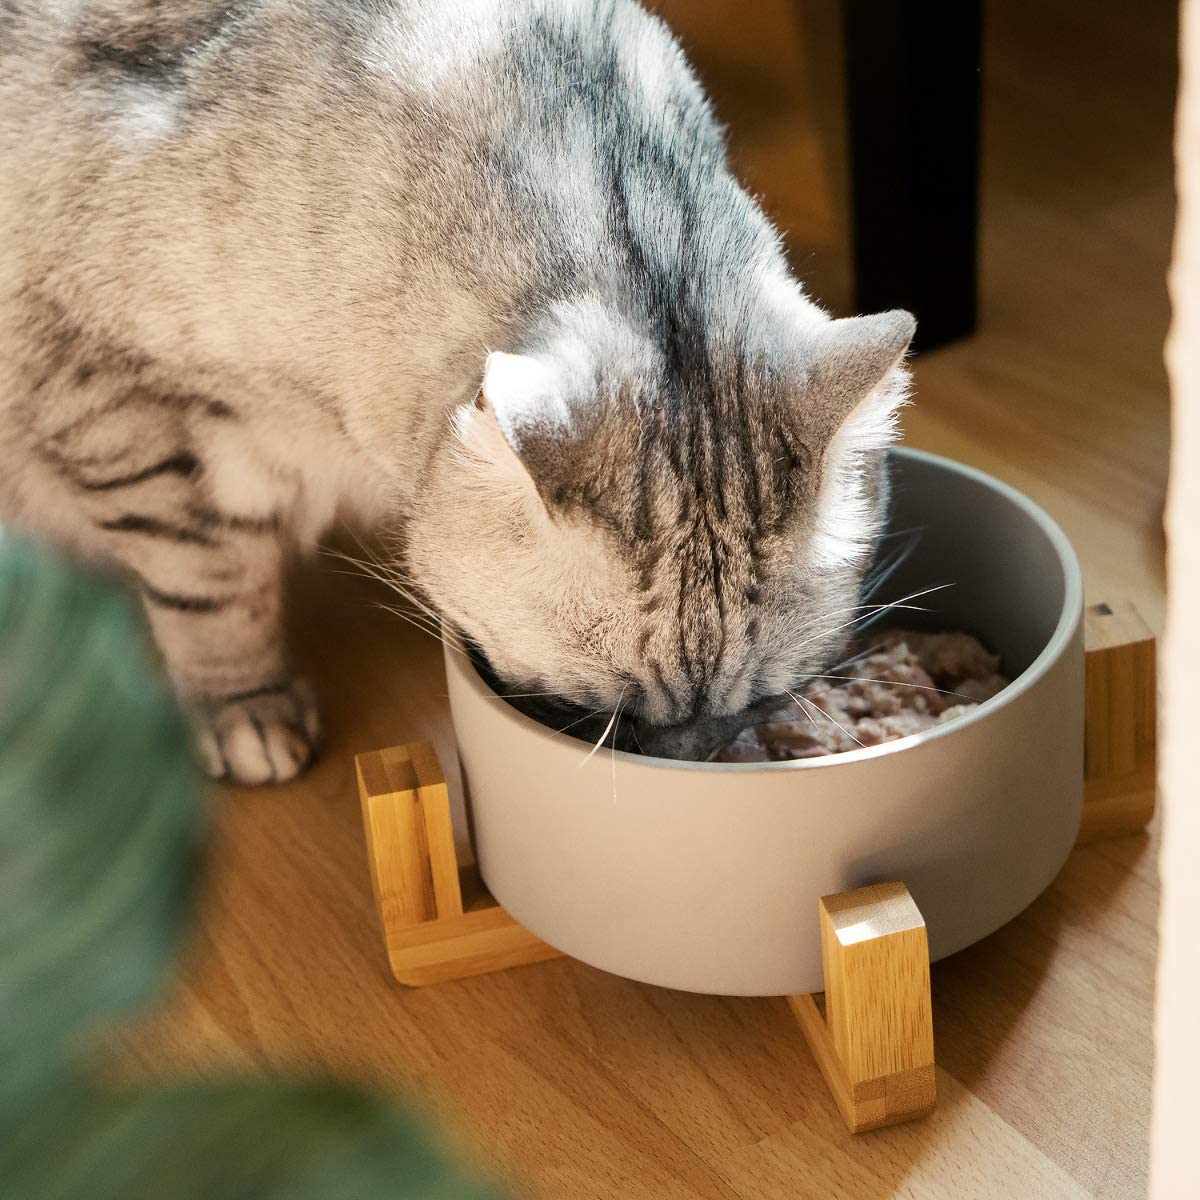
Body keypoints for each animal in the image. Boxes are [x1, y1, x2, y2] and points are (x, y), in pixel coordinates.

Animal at [0, 0, 907, 782]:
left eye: (767, 700)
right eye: (590, 712)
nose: (687, 767)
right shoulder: (115, 399)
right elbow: (208, 587)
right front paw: (244, 711)